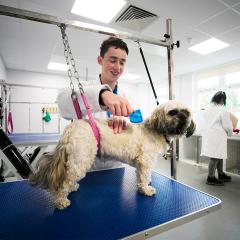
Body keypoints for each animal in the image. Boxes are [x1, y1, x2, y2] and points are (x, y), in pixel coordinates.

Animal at [29, 100, 195, 209]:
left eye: (187, 112)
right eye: (173, 112)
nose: (183, 117)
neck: (156, 129)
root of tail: (73, 127)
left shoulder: (141, 164)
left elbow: (141, 176)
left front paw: (145, 185)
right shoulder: (145, 161)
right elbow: (143, 177)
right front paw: (146, 189)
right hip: (81, 159)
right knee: (64, 182)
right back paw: (61, 200)